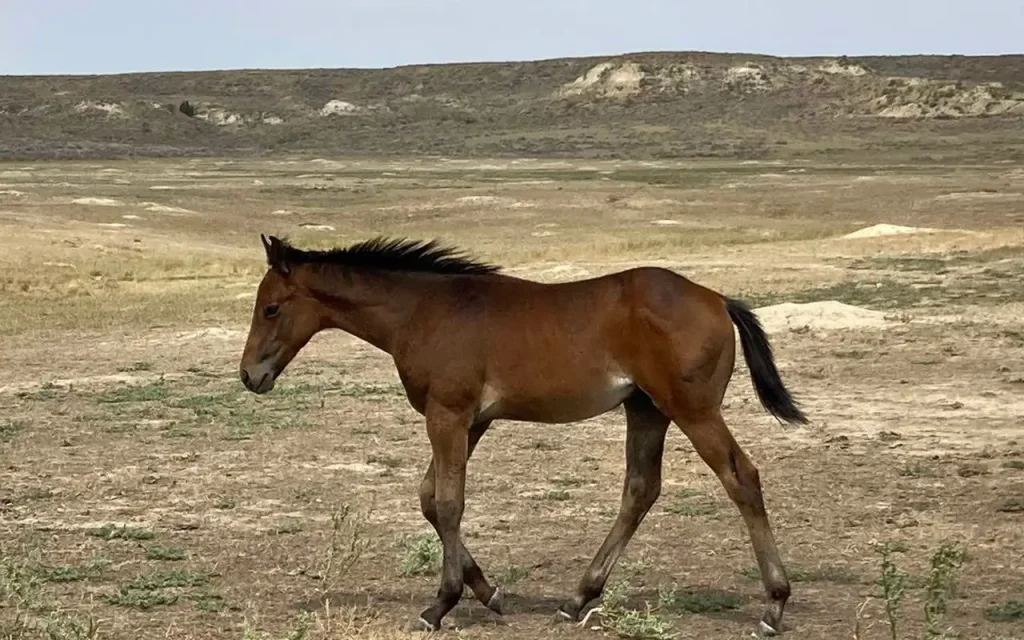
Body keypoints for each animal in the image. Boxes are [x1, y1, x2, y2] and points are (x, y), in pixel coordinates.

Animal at [238, 234, 807, 636]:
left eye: (271, 308)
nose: (250, 376)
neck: (425, 311)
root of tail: (718, 299)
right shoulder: (473, 420)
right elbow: (428, 498)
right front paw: (489, 593)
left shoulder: (448, 414)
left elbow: (448, 503)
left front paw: (439, 605)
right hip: (646, 410)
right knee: (640, 489)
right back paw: (577, 599)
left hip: (692, 410)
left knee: (741, 478)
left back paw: (774, 605)